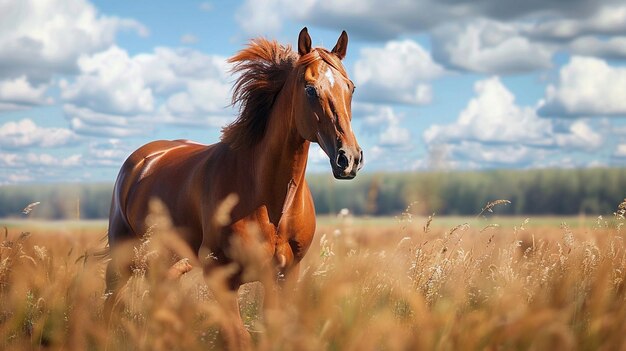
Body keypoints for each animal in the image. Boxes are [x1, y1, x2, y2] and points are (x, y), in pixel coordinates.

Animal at [105, 28, 364, 350]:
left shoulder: (284, 275)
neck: (270, 201)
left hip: (167, 262)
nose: (349, 158)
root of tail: (141, 160)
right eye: (310, 89)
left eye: (350, 88)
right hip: (122, 255)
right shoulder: (221, 279)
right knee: (110, 302)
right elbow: (238, 338)